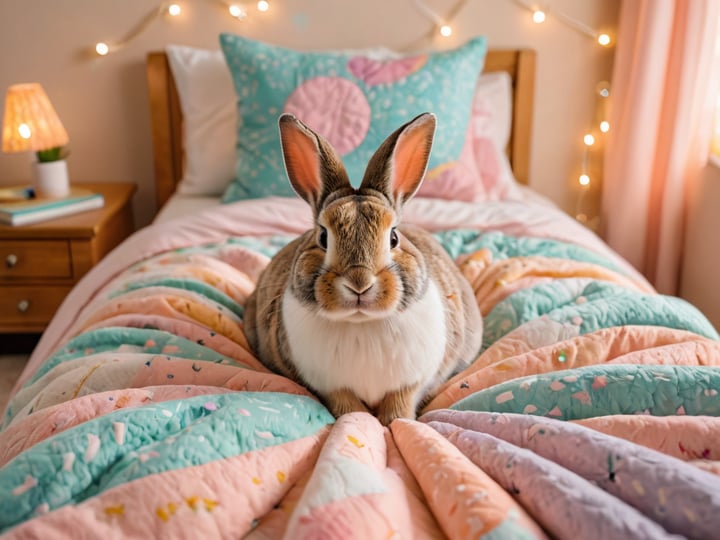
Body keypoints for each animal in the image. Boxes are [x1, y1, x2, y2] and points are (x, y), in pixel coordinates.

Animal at [243, 112, 483, 426]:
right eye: (323, 237)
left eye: (393, 237)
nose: (360, 283)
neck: (361, 321)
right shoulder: (330, 386)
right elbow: (349, 407)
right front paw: (360, 422)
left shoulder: (411, 382)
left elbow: (399, 405)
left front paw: (394, 422)